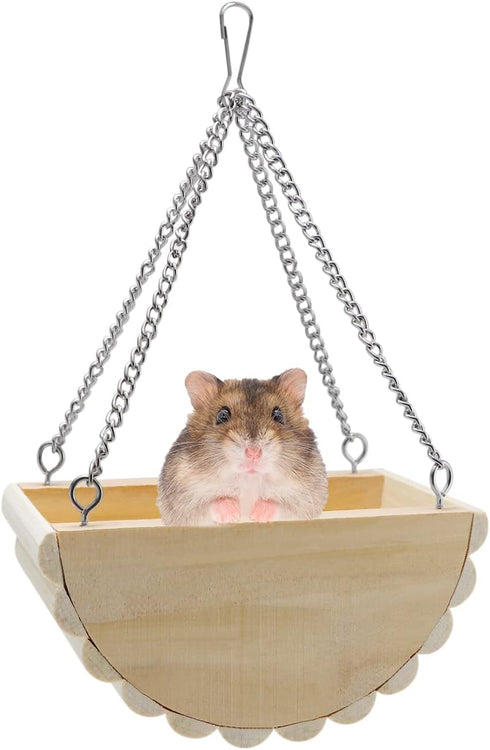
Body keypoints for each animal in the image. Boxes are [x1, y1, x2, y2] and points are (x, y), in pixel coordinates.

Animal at [157, 368, 328, 526]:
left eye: (278, 415)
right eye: (222, 415)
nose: (253, 453)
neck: (248, 480)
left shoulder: (306, 501)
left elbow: (281, 505)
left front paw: (257, 516)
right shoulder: (183, 502)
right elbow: (210, 504)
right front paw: (233, 515)